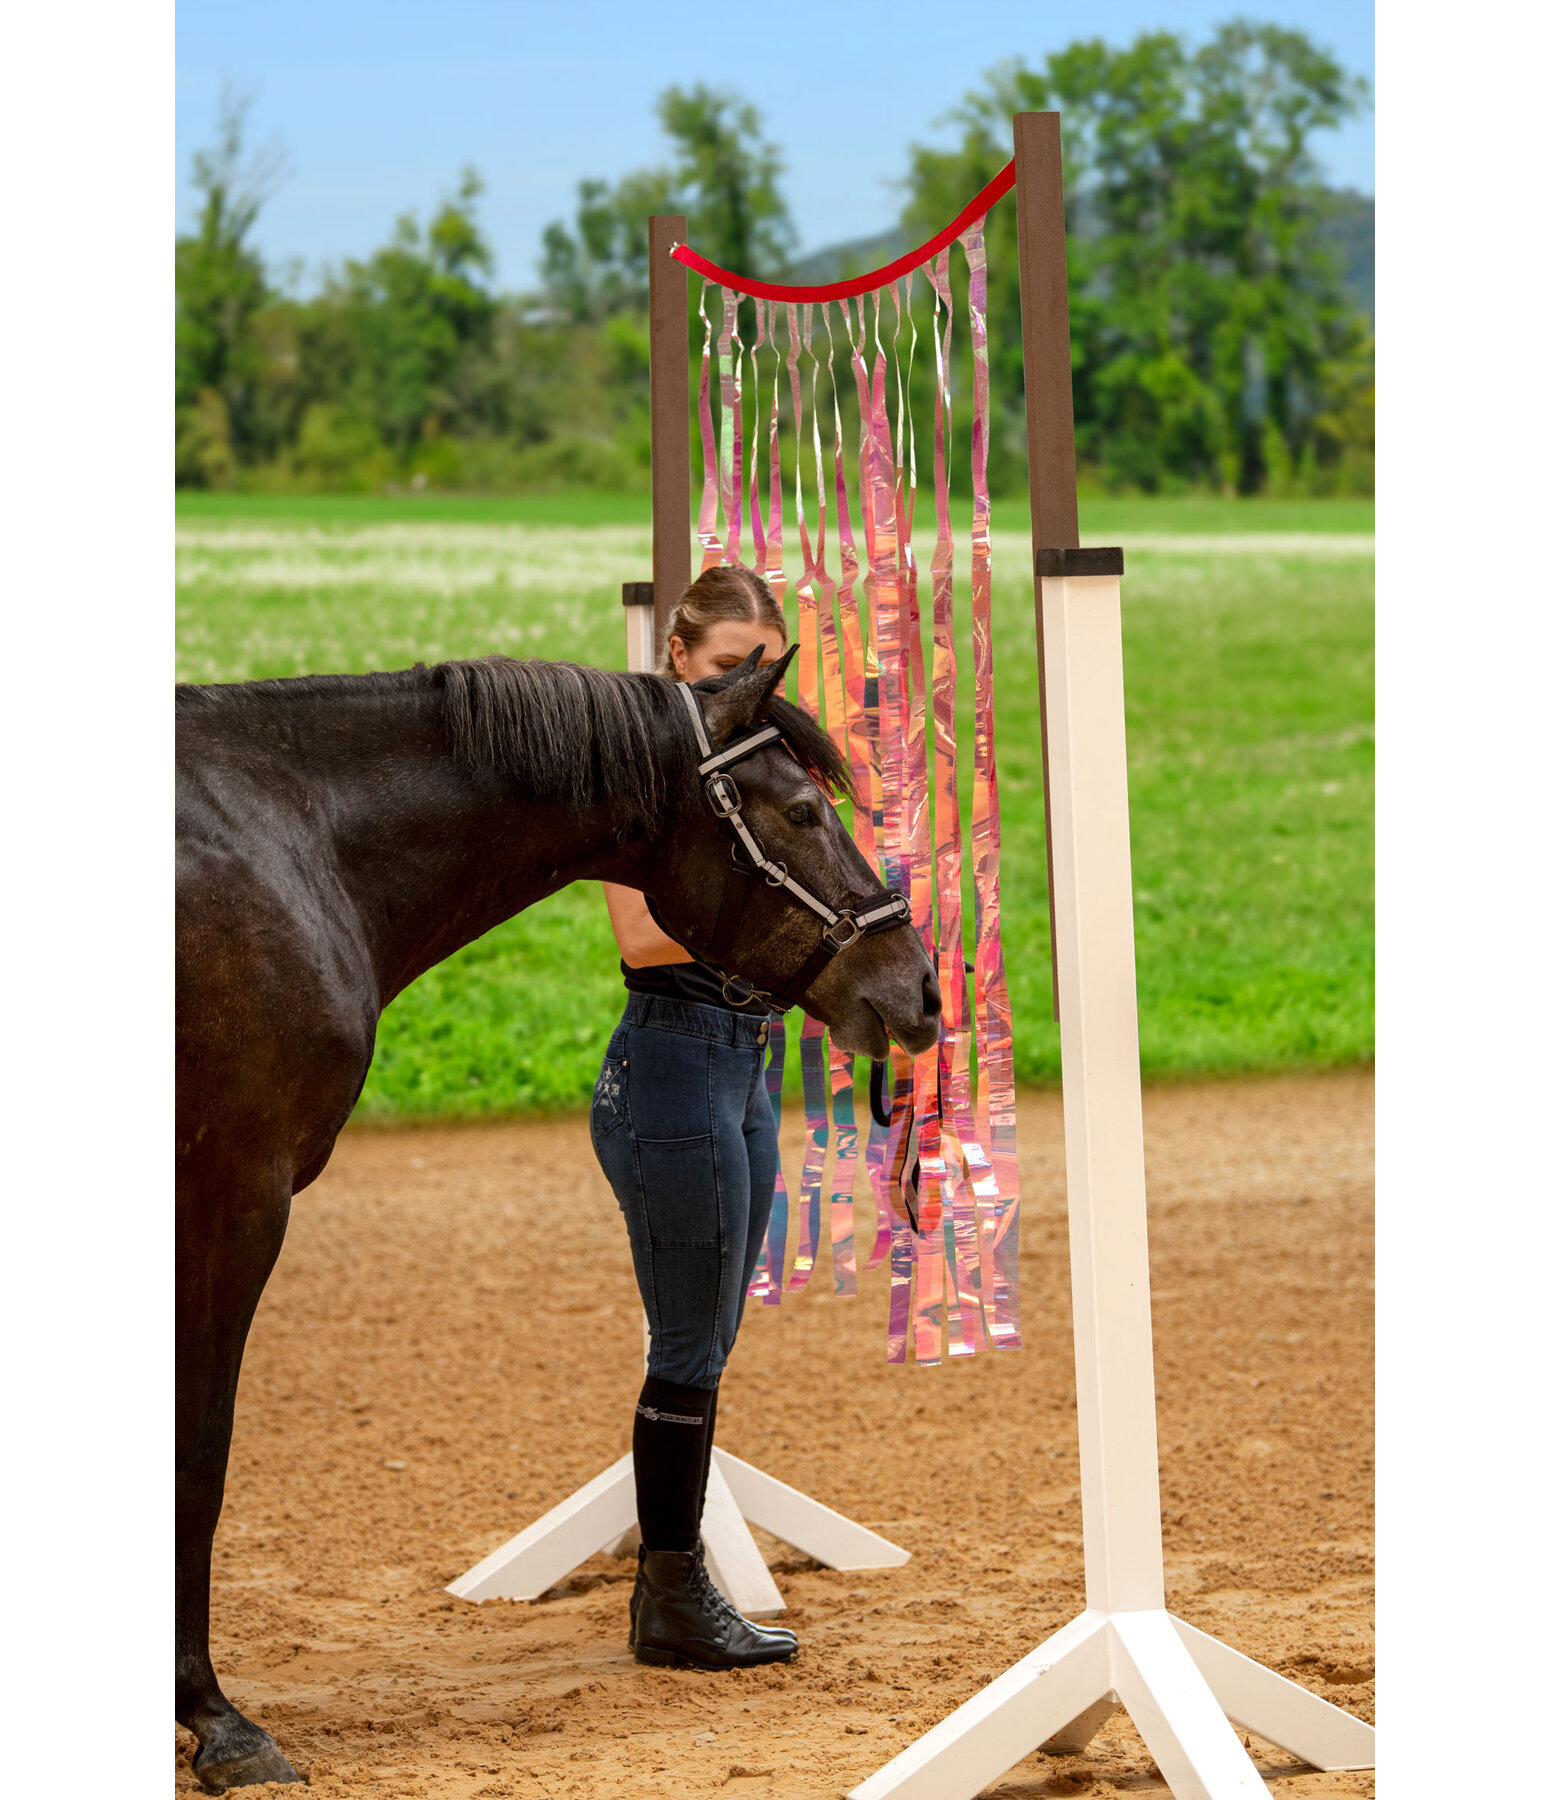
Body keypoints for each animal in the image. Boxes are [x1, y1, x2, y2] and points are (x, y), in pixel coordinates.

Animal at [175, 648, 936, 1785]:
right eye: (803, 810)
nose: (920, 987)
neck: (288, 837)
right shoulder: (237, 1196)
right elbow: (201, 1452)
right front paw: (219, 1721)